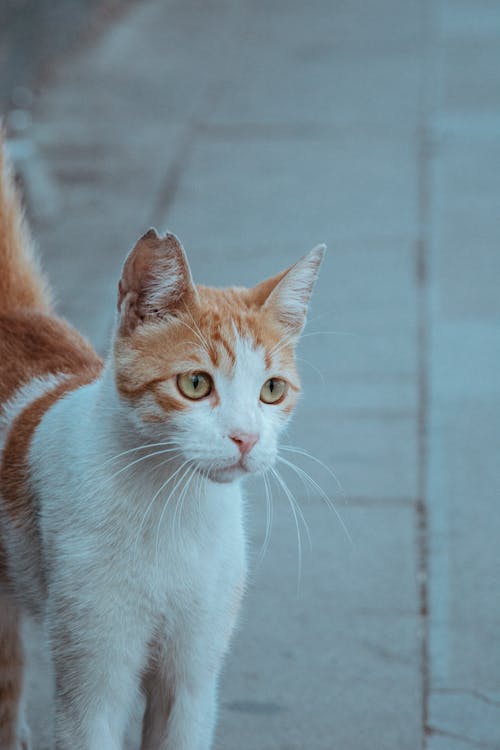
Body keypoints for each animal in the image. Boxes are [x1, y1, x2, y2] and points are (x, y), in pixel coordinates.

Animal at [0, 135, 324, 750]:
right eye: (195, 384)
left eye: (272, 390)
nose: (247, 438)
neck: (172, 510)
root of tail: (16, 315)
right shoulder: (92, 687)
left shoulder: (192, 681)